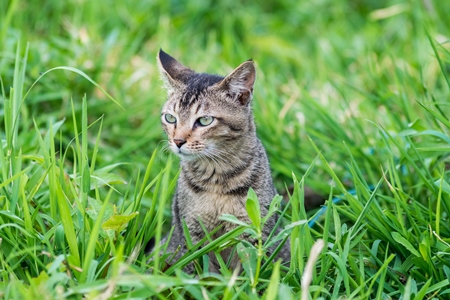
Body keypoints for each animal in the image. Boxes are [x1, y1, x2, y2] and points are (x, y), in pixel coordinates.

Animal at [156, 49, 288, 272]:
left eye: (204, 120)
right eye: (171, 118)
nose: (178, 141)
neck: (217, 178)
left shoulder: (251, 233)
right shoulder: (192, 235)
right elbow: (200, 271)